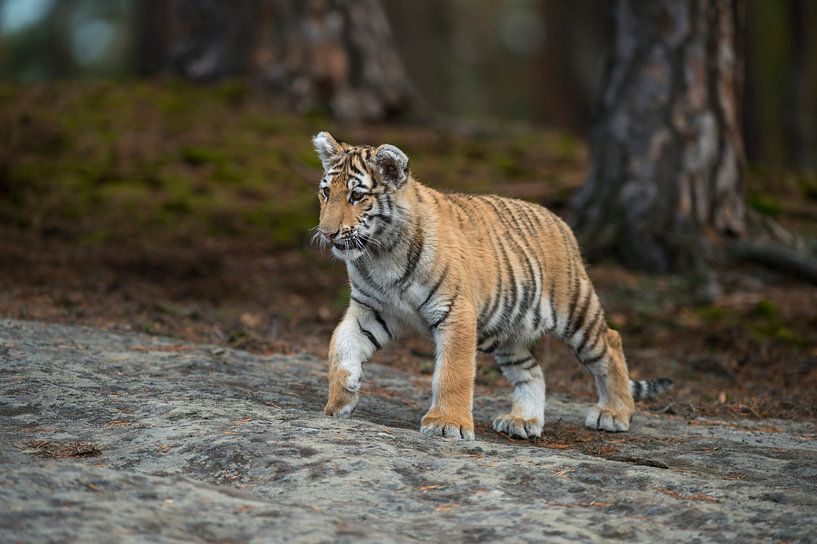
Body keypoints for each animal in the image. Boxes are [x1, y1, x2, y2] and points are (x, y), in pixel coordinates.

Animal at [312, 133, 668, 442]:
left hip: (573, 309)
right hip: (502, 330)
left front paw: (447, 425)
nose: (327, 233)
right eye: (326, 193)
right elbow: (339, 345)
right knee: (532, 370)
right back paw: (523, 420)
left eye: (357, 196)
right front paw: (341, 399)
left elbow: (453, 372)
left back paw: (614, 413)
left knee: (610, 342)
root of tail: (559, 220)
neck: (380, 253)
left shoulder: (455, 311)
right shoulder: (371, 310)